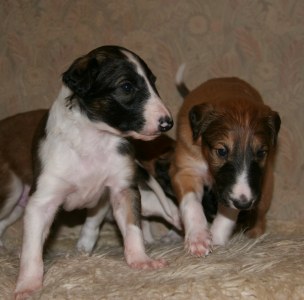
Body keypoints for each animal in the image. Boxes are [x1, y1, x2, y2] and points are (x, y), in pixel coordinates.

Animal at [15, 45, 175, 298]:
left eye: (153, 82)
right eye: (126, 86)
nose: (167, 123)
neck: (94, 138)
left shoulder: (122, 189)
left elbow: (133, 227)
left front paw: (140, 259)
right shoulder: (42, 200)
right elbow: (32, 249)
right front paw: (28, 284)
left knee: (93, 220)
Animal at [170, 67, 282, 255]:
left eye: (261, 152)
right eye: (221, 151)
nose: (244, 203)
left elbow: (228, 214)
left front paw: (216, 237)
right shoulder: (186, 171)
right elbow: (191, 203)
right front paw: (198, 237)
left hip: (266, 186)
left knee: (261, 215)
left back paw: (254, 233)